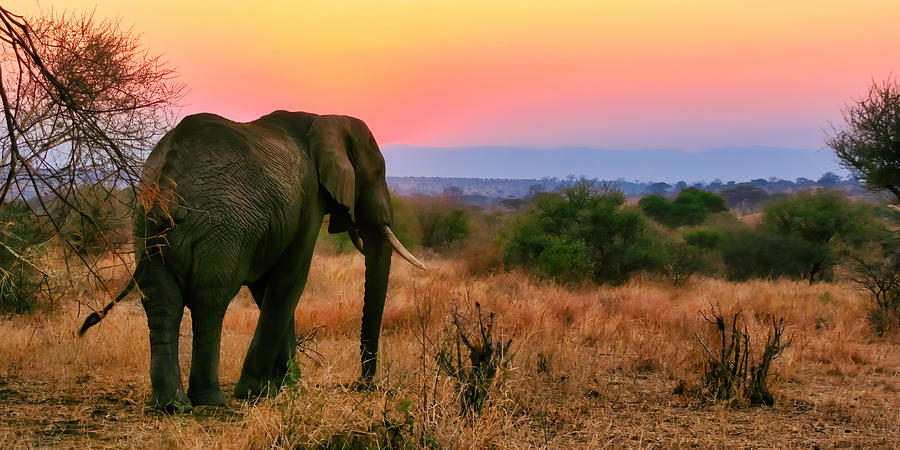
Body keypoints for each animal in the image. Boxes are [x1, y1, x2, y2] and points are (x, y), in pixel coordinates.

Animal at [79, 110, 428, 412]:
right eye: (378, 175)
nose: (362, 385)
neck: (324, 118)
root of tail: (166, 180)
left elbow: (265, 289)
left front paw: (287, 386)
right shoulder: (310, 198)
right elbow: (289, 281)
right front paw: (259, 392)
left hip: (144, 229)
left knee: (162, 301)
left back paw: (173, 404)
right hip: (222, 228)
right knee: (210, 300)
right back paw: (211, 401)